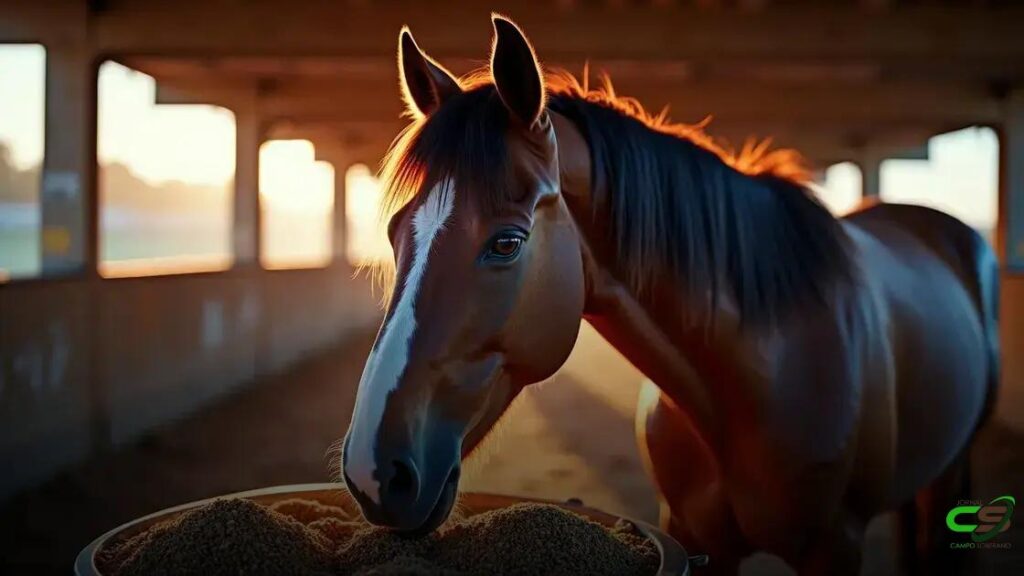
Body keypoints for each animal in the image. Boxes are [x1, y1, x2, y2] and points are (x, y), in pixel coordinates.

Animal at [341, 15, 1000, 575]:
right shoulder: (693, 536)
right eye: (397, 233)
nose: (373, 473)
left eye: (506, 242)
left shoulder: (834, 547)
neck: (759, 374)